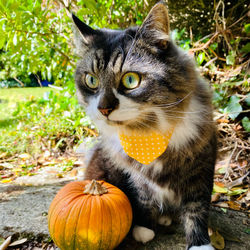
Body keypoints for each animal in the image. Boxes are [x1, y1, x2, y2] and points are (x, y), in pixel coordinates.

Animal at [72, 2, 217, 250]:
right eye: (91, 80)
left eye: (130, 80)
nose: (103, 109)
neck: (148, 130)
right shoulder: (134, 175)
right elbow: (143, 197)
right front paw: (144, 229)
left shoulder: (201, 167)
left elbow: (196, 209)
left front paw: (200, 244)